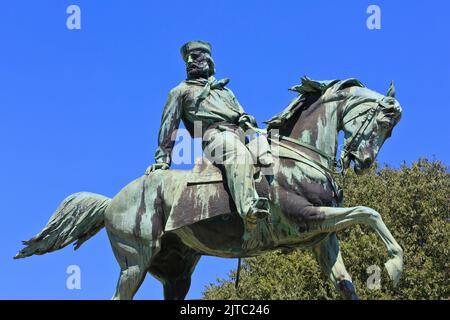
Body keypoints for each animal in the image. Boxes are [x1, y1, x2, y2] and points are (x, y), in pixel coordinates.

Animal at [14, 77, 402, 300]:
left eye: (391, 128)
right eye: (382, 122)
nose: (364, 162)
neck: (299, 155)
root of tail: (112, 202)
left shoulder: (323, 239)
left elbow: (346, 283)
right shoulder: (305, 218)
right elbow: (369, 211)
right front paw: (396, 264)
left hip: (175, 272)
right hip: (134, 262)